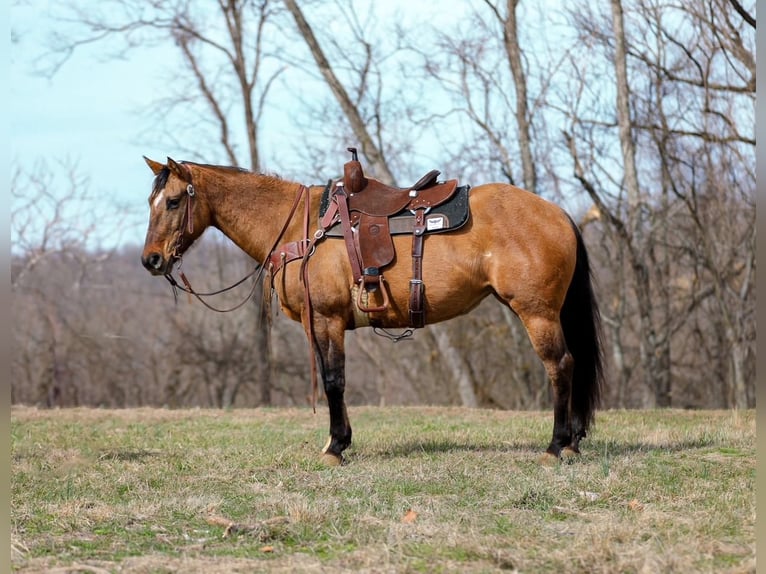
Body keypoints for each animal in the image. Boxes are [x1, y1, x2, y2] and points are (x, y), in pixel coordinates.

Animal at [140, 156, 604, 465]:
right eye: (151, 200)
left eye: (175, 201)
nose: (151, 260)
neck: (299, 229)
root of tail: (559, 213)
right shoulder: (321, 325)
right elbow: (335, 381)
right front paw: (338, 441)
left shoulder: (326, 320)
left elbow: (334, 381)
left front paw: (335, 447)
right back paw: (573, 441)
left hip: (537, 312)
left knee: (561, 366)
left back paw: (557, 445)